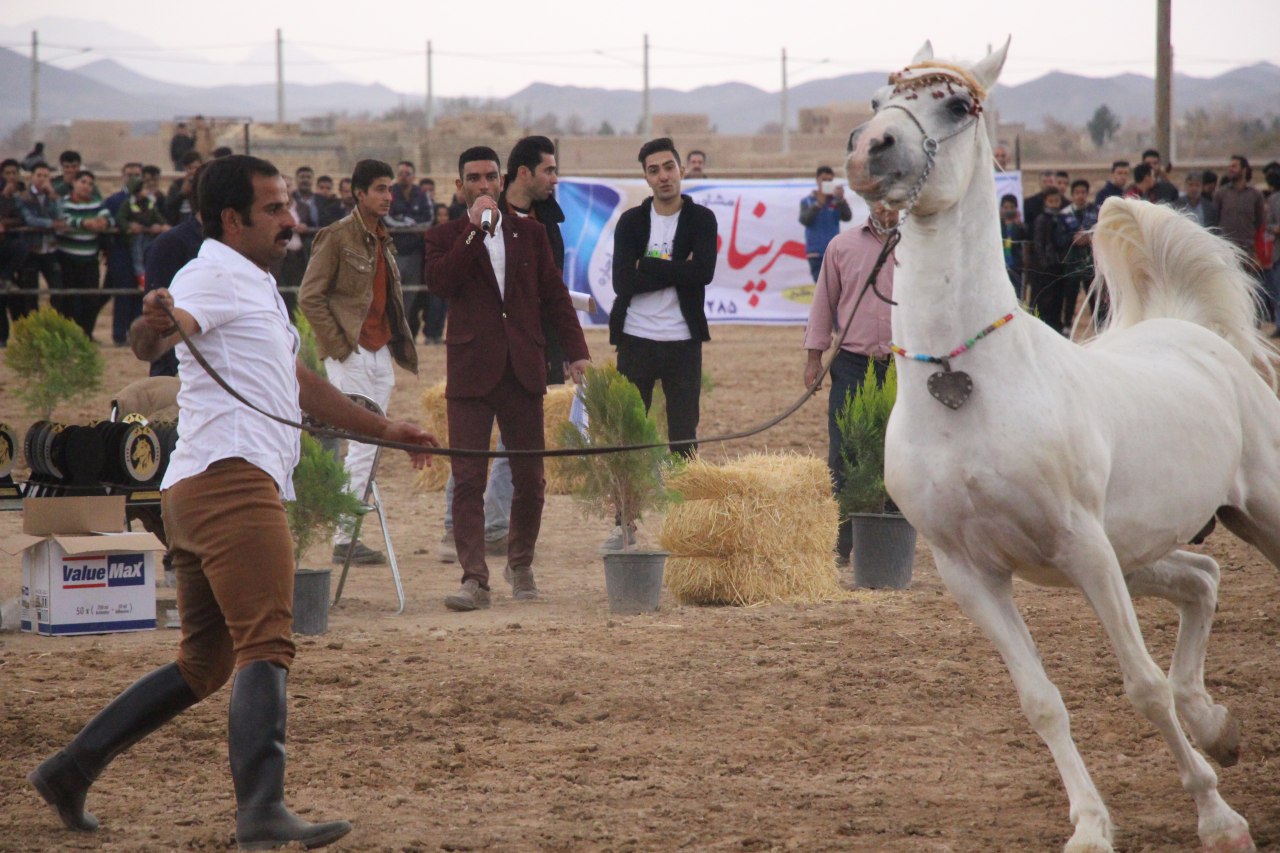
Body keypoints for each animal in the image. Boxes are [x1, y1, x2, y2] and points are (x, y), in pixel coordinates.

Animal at [845, 38, 1277, 853]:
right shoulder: (972, 572)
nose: (867, 151)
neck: (966, 384)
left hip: (1242, 518)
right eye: (879, 100)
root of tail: (1191, 331)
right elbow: (1041, 701)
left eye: (958, 104)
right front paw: (1091, 825)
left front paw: (1219, 817)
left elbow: (1141, 686)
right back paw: (1218, 725)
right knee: (1202, 578)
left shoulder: (1084, 548)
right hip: (1140, 549)